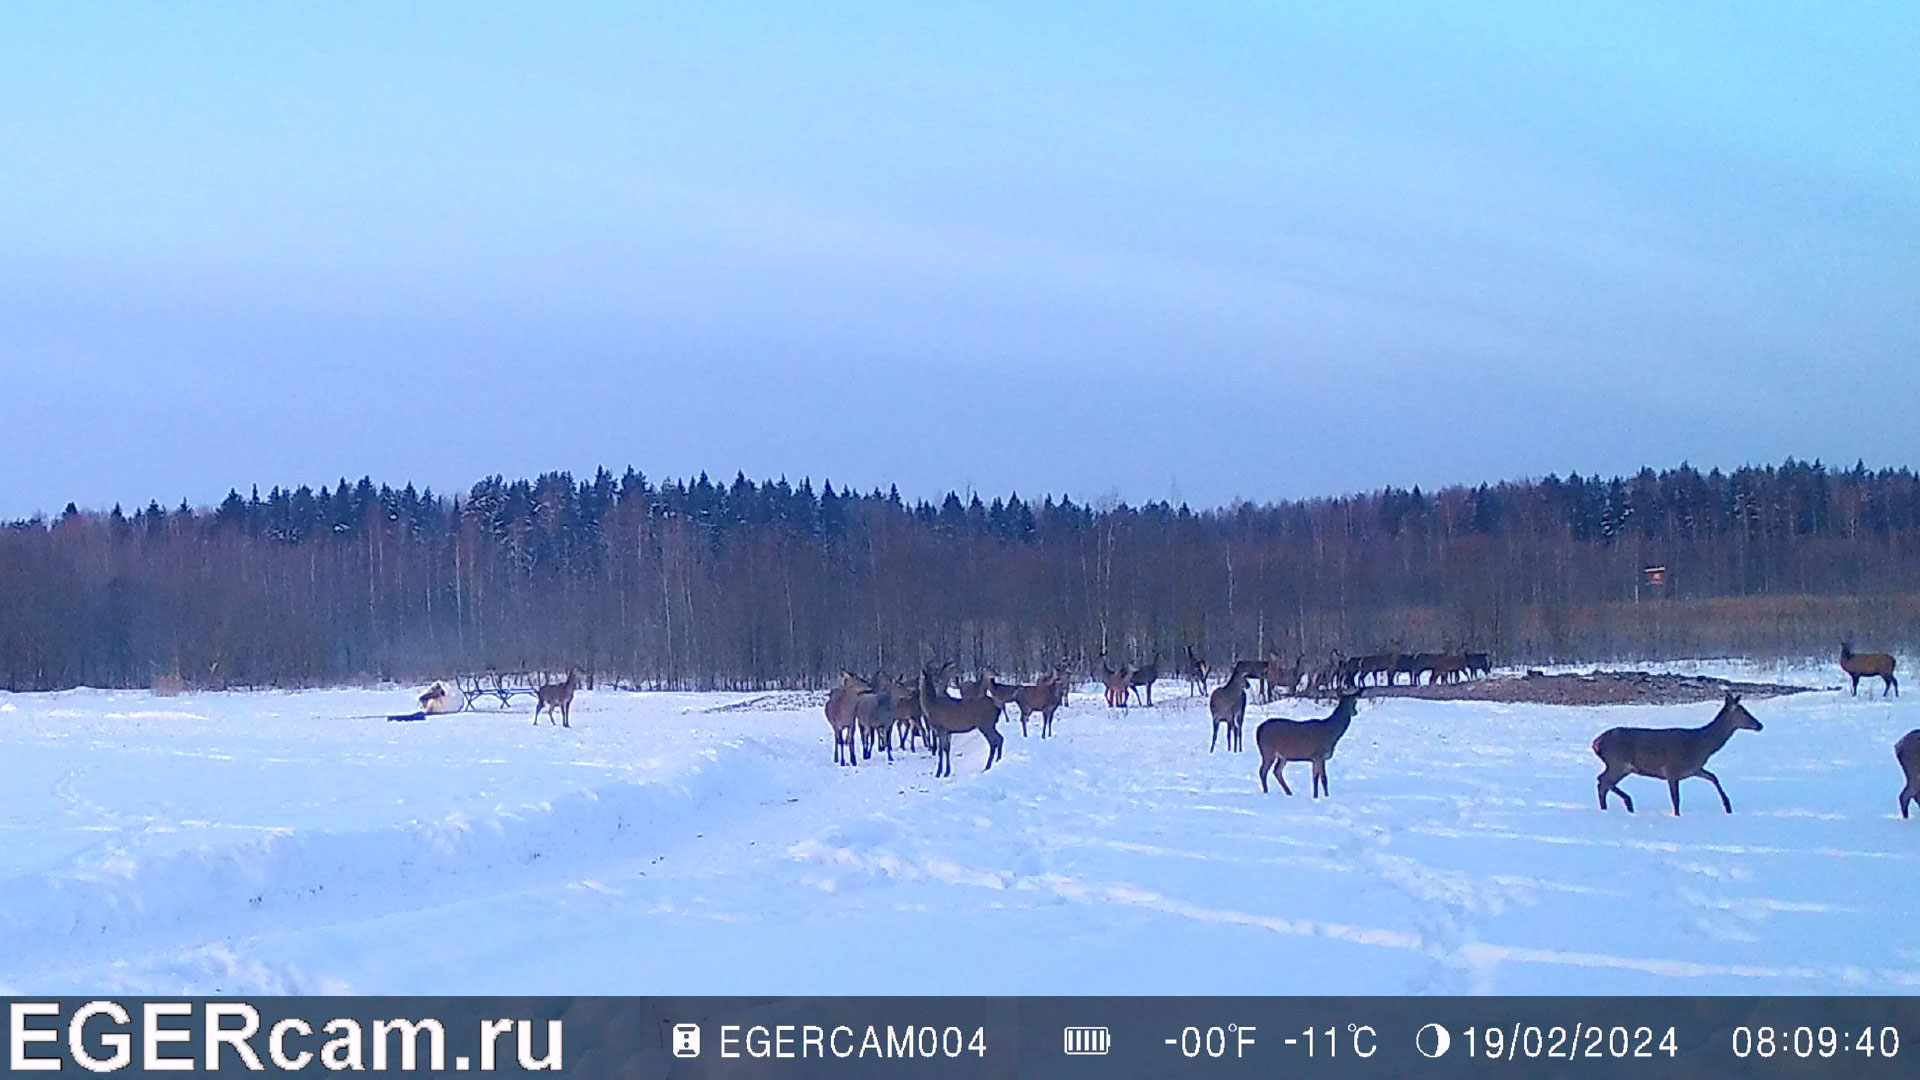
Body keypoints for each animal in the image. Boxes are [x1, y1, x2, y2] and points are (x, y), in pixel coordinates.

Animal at [1589, 691, 1766, 810]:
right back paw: (1625, 803)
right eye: (1743, 711)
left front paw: (1727, 805)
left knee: (1602, 781)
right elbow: (1676, 799)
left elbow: (1713, 777)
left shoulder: (1693, 769)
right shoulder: (1672, 769)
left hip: (1622, 766)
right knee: (1603, 781)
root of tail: (1596, 742)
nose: (1759, 725)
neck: (1702, 745)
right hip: (1618, 762)